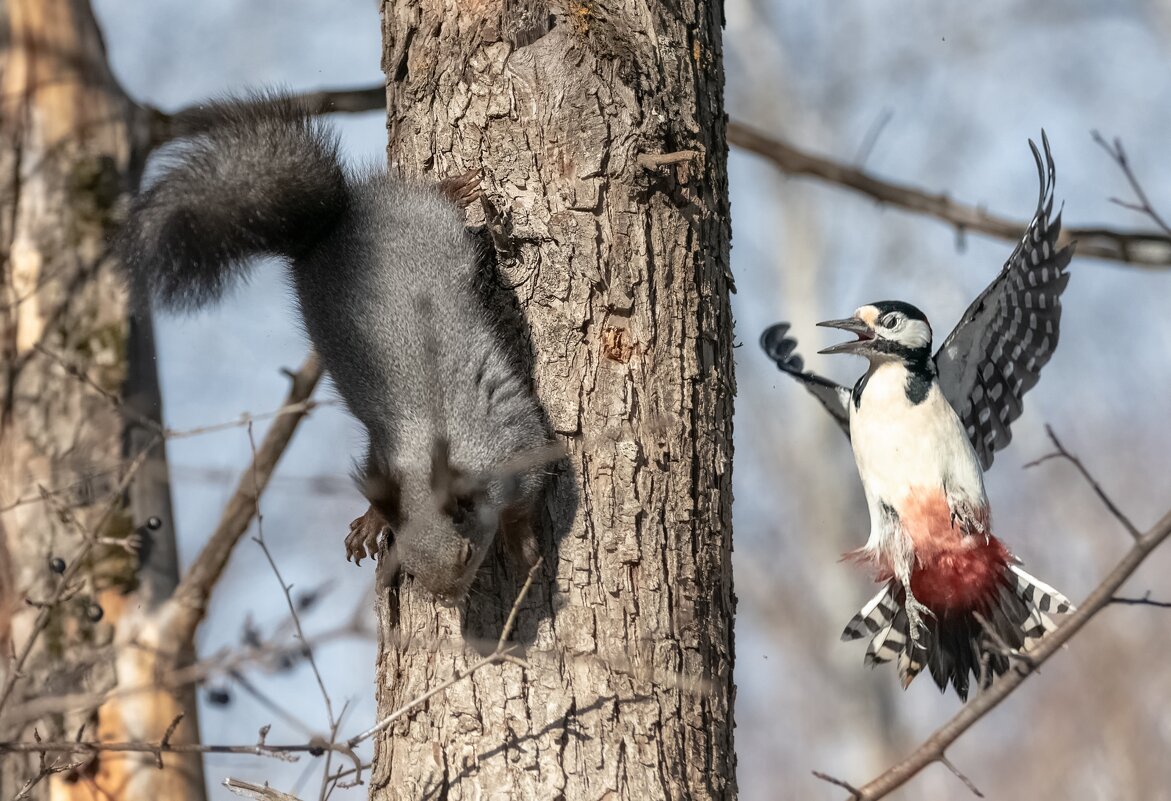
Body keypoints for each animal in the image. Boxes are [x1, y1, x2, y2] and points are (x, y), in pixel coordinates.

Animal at [118, 93, 552, 604]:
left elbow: (526, 501)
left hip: (425, 222)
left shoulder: (521, 445)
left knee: (435, 200)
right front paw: (371, 521)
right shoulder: (384, 456)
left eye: (466, 555)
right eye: (411, 566)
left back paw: (455, 188)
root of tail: (329, 228)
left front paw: (521, 545)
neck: (430, 448)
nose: (446, 599)